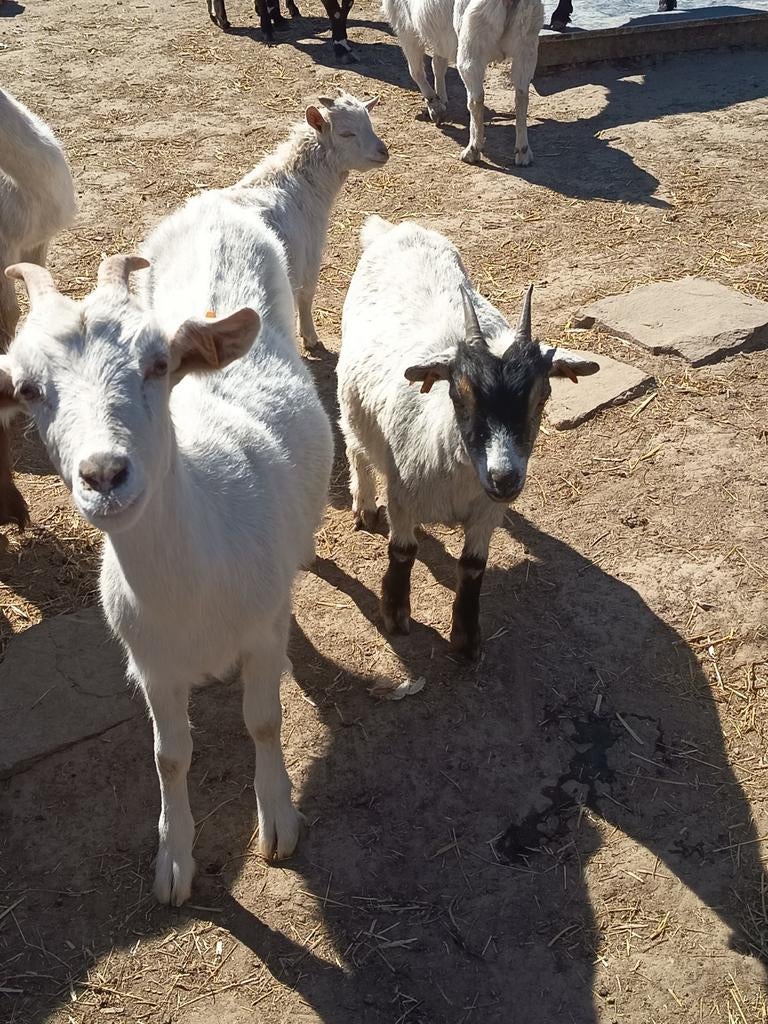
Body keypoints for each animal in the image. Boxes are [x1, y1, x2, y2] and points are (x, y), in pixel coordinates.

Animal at [1, 196, 333, 905]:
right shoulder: (152, 666)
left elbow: (264, 721)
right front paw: (174, 861)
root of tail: (215, 203)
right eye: (29, 390)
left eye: (158, 364)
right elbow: (169, 756)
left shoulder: (260, 635)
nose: (104, 474)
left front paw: (278, 821)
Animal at [234, 91, 389, 352]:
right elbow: (306, 296)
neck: (298, 182)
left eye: (369, 124)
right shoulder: (310, 254)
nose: (383, 152)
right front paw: (310, 337)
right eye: (346, 133)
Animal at [337, 216, 599, 658]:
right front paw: (395, 614)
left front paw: (465, 640)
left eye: (543, 395)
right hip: (351, 401)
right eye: (459, 393)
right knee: (356, 447)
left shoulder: (486, 512)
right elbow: (403, 551)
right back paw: (365, 505)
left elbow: (474, 567)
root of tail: (395, 229)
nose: (504, 477)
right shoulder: (402, 498)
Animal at [383, 0, 544, 165]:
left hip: (471, 46)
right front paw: (442, 100)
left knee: (476, 99)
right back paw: (523, 152)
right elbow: (438, 64)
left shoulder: (404, 24)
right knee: (522, 96)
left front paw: (435, 107)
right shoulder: (441, 38)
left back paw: (472, 150)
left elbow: (416, 71)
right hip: (526, 44)